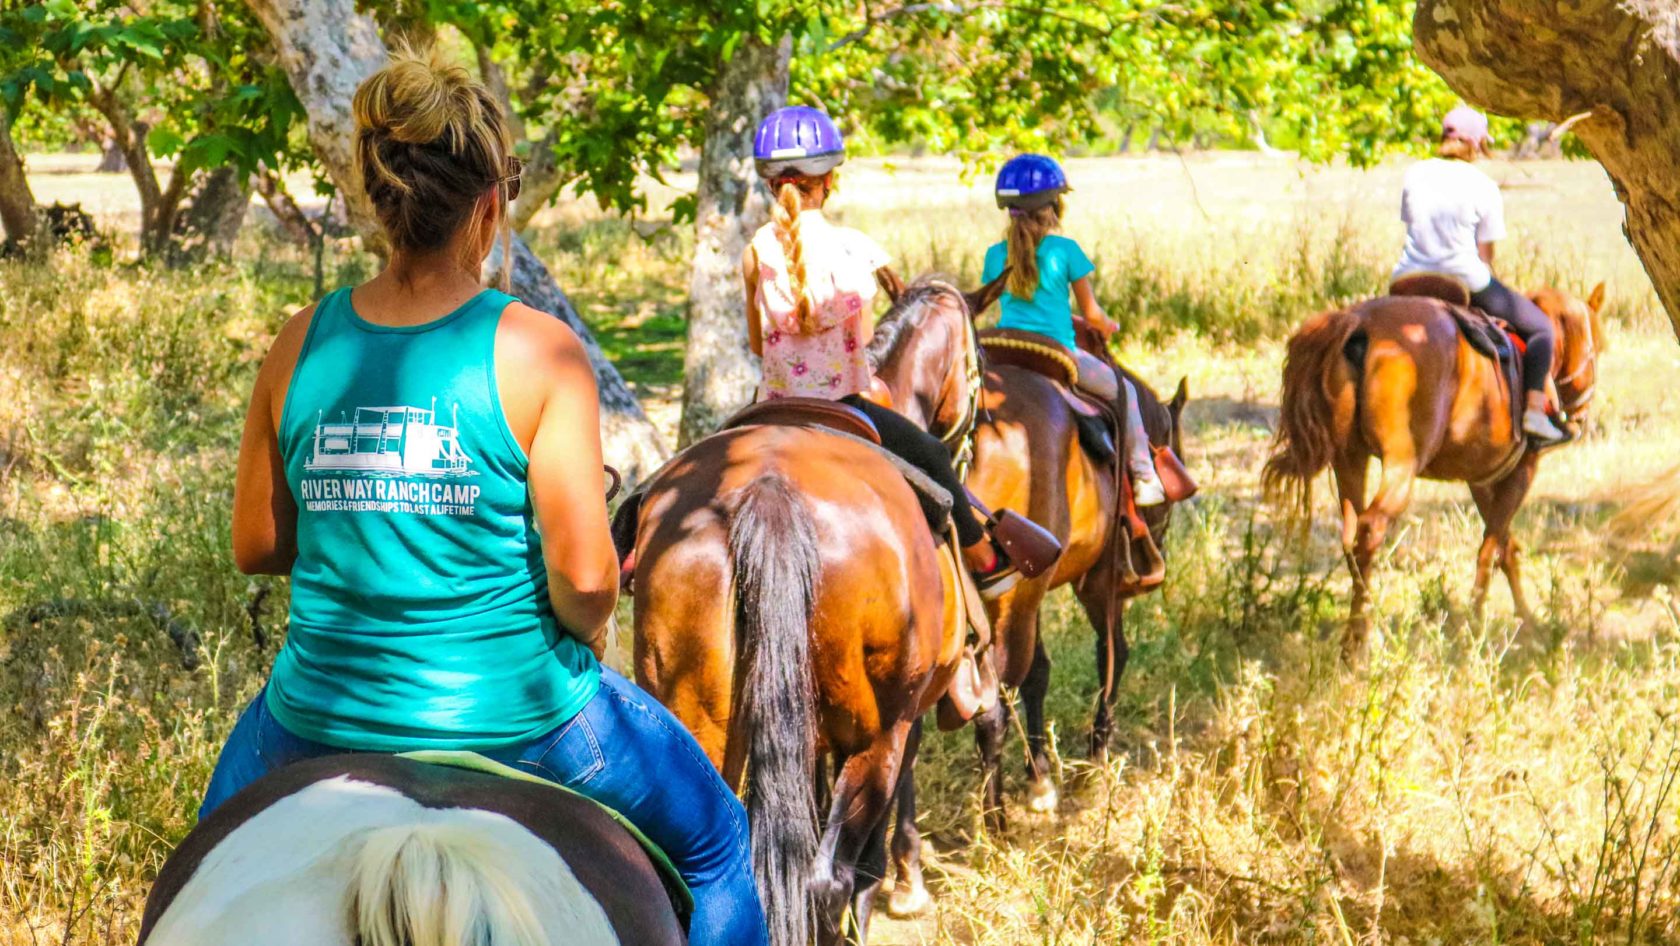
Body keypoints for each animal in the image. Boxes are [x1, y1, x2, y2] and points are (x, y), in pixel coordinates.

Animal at [628, 283, 974, 946]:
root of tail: (770, 490)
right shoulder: (907, 723)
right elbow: (869, 856)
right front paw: (907, 887)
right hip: (878, 734)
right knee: (826, 880)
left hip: (697, 712)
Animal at [1263, 277, 1606, 655]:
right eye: (1599, 349)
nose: (1581, 416)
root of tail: (1358, 323)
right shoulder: (1521, 472)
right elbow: (1491, 547)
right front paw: (1476, 624)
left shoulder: (1480, 478)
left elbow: (1504, 546)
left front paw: (1524, 620)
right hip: (1402, 464)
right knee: (1370, 529)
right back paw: (1361, 640)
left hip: (1349, 458)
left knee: (1351, 532)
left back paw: (1353, 636)